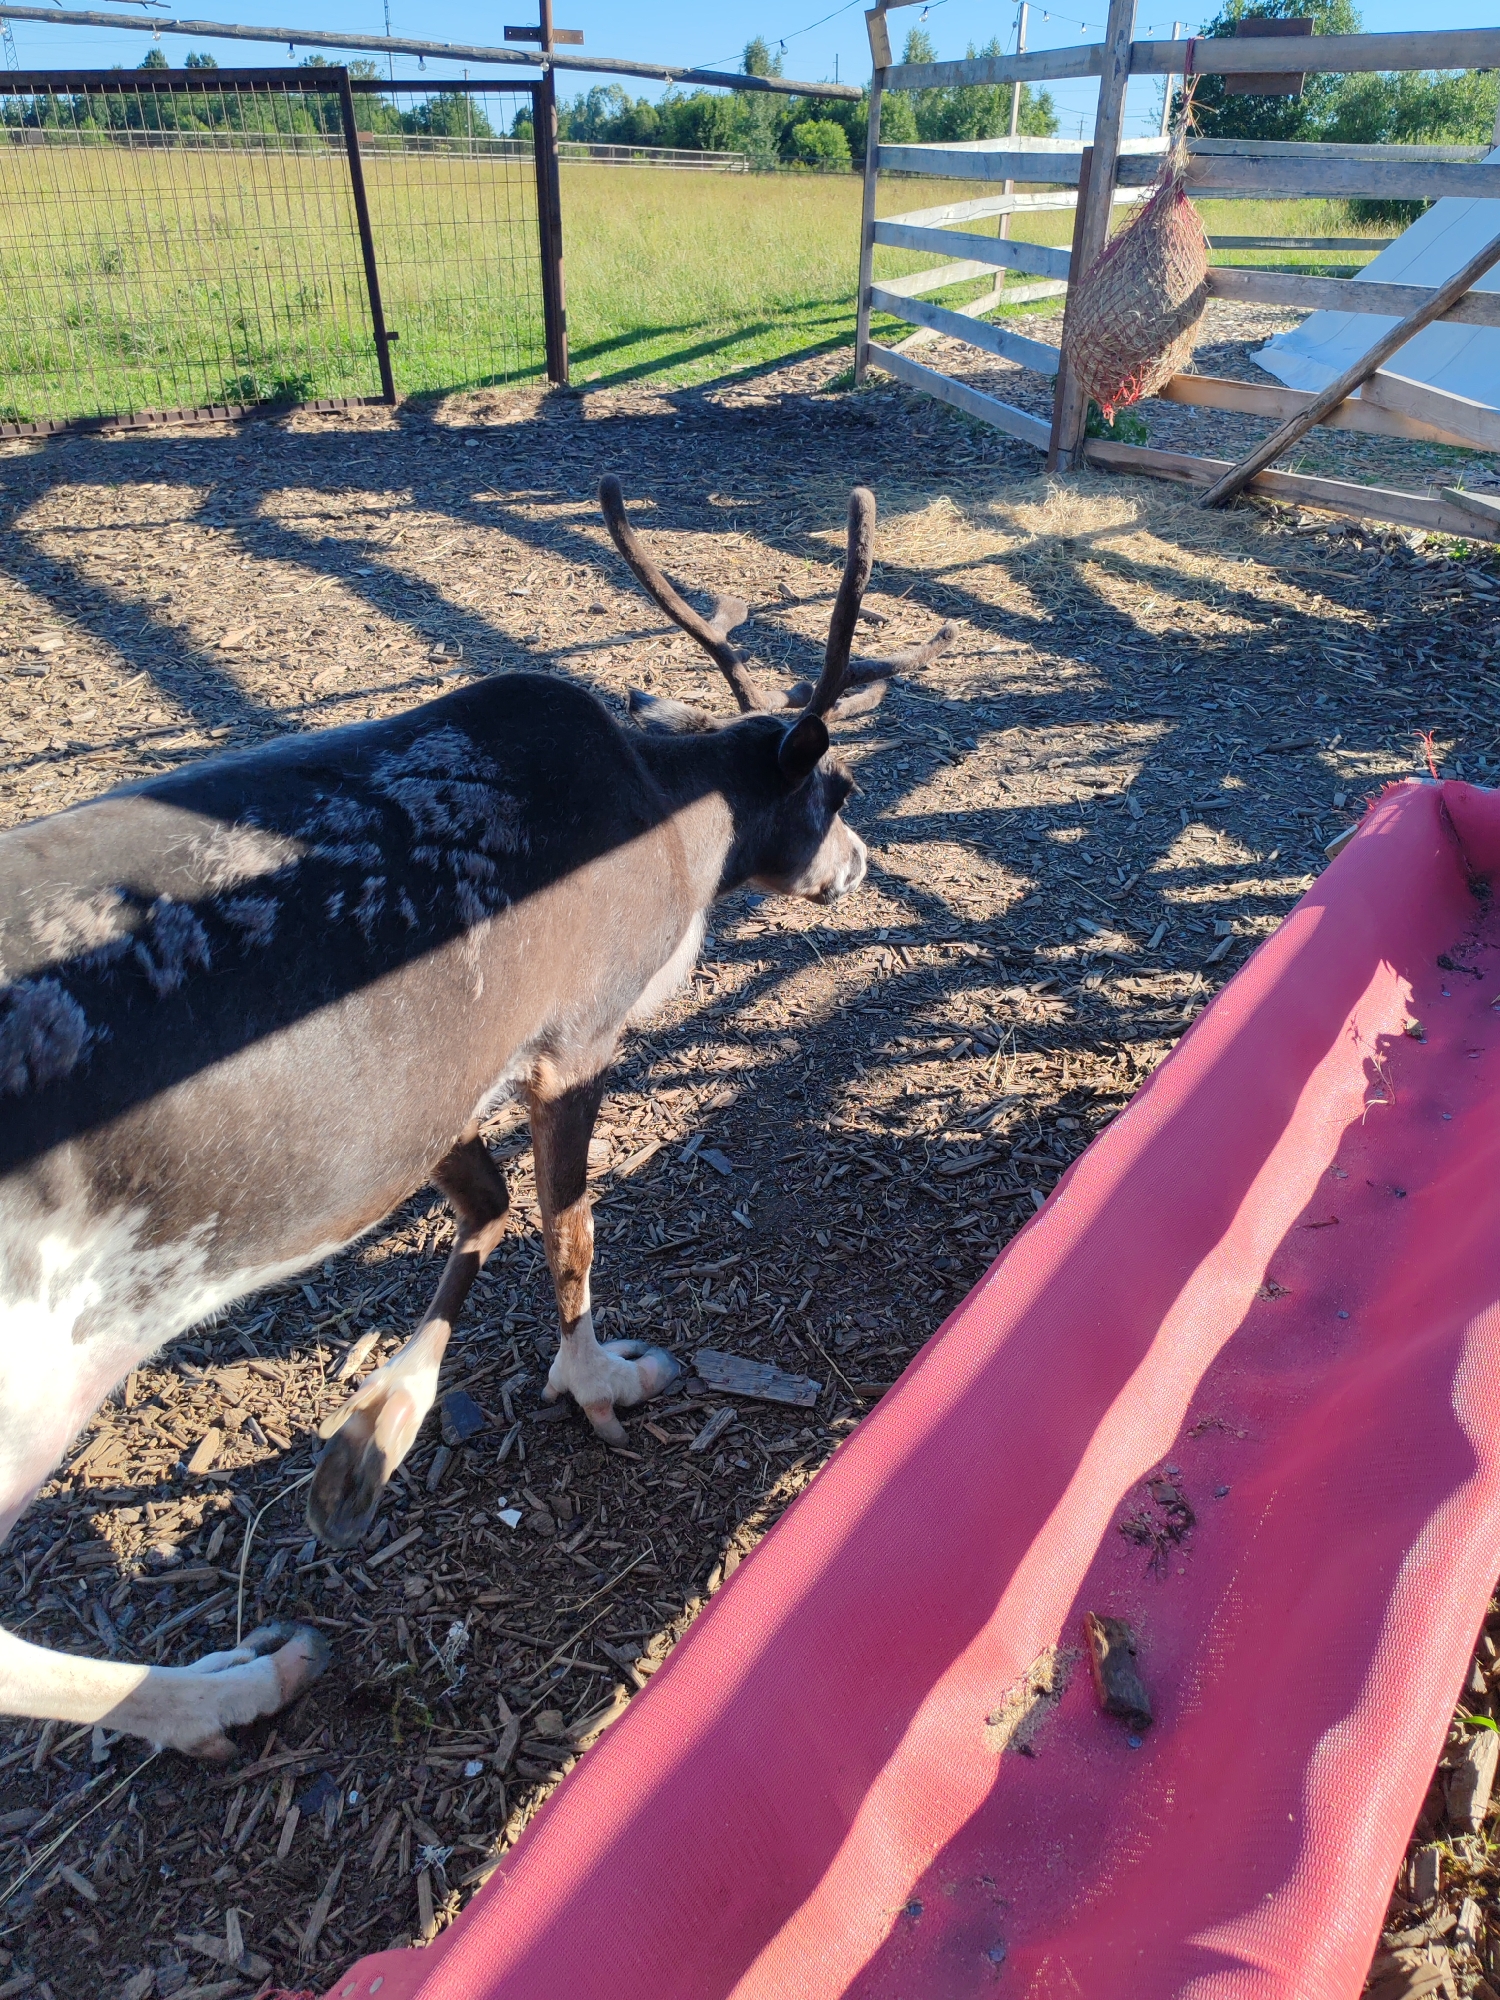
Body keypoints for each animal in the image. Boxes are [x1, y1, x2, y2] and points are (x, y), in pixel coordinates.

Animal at [0, 478, 953, 1760]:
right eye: (836, 786)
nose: (862, 861)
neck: (675, 817)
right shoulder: (574, 1035)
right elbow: (570, 1231)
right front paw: (600, 1380)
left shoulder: (424, 1096)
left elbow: (488, 1202)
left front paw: (369, 1439)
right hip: (30, 1386)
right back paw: (229, 1685)